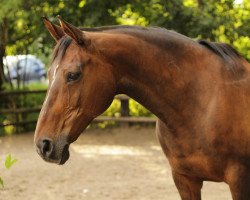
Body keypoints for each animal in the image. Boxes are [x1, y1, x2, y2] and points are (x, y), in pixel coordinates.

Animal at [34, 16, 250, 200]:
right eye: (49, 73)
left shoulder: (239, 180)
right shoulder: (184, 180)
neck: (200, 104)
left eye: (73, 75)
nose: (43, 145)